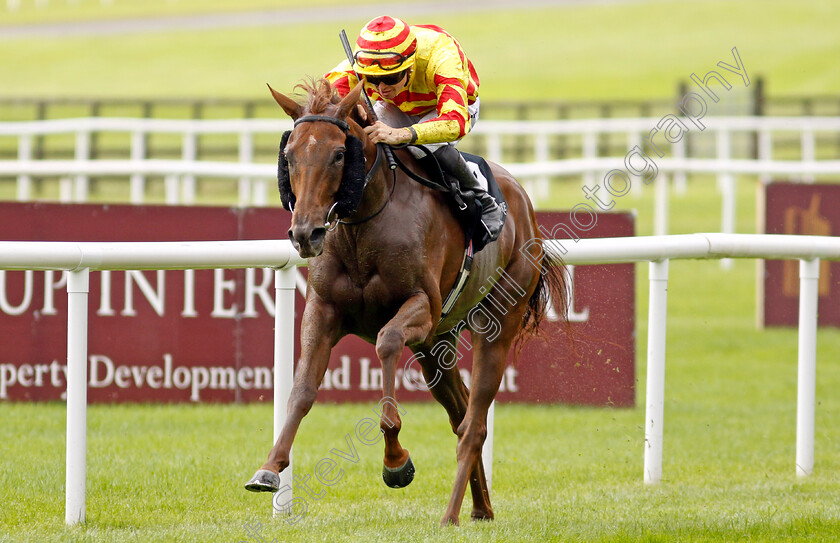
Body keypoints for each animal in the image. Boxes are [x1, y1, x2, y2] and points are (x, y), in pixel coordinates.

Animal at [246, 77, 568, 528]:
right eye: (289, 156)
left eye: (339, 154)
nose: (305, 233)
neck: (363, 224)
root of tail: (523, 201)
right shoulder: (323, 310)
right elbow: (302, 390)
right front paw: (269, 468)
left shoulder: (422, 307)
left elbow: (386, 343)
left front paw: (396, 460)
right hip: (436, 344)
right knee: (461, 413)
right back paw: (480, 507)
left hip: (495, 323)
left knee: (474, 425)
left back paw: (450, 514)